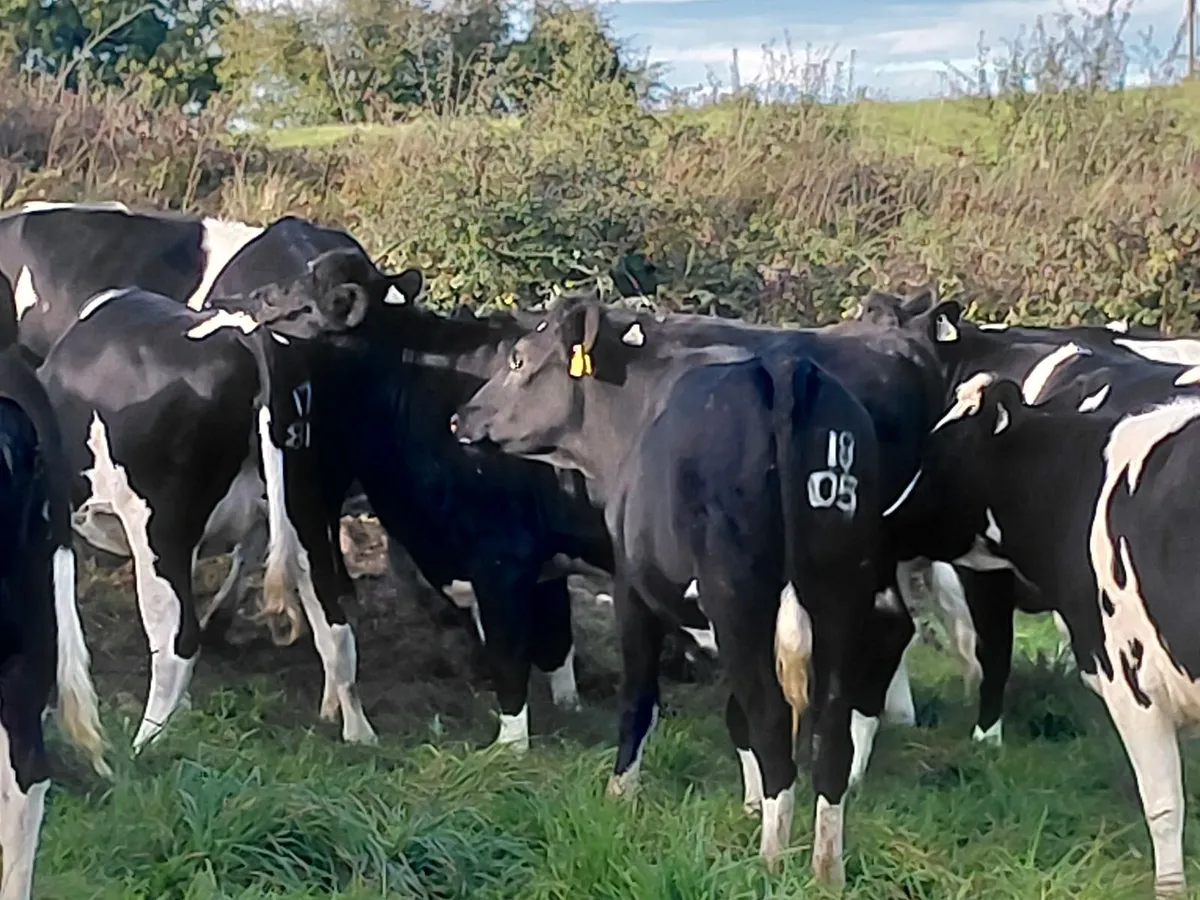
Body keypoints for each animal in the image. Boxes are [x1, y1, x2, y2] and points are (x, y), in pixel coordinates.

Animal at [451, 294, 910, 884]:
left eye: (518, 360)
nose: (461, 417)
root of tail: (786, 369)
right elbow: (735, 714)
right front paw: (749, 801)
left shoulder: (632, 586)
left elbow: (641, 697)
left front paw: (620, 793)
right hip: (840, 593)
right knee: (829, 736)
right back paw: (825, 871)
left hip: (739, 597)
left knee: (773, 721)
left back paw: (769, 863)